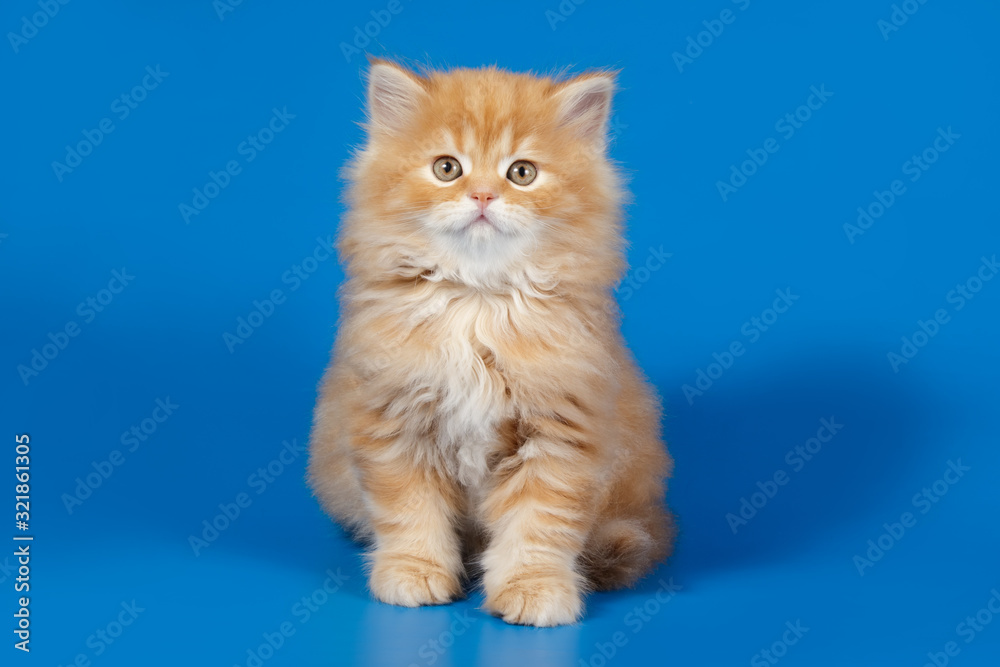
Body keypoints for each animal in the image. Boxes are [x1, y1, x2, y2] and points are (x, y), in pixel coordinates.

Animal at [308, 57, 676, 628]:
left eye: (521, 173)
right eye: (447, 168)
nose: (482, 195)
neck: (476, 301)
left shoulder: (562, 429)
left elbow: (539, 523)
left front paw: (533, 588)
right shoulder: (392, 420)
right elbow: (408, 511)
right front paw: (414, 572)